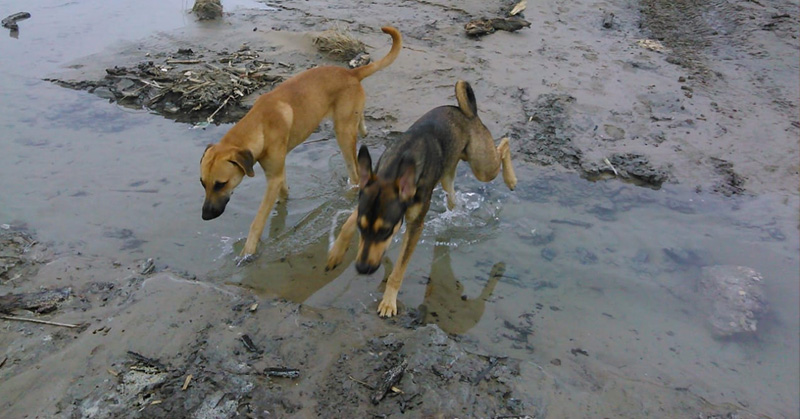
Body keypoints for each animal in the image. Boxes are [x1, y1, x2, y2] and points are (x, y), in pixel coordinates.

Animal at [200, 26, 402, 258]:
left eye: (221, 184)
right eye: (202, 183)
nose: (205, 216)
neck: (259, 126)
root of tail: (351, 73)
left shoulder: (273, 178)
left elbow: (258, 221)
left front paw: (247, 253)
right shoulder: (278, 174)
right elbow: (283, 195)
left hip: (342, 135)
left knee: (355, 175)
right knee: (361, 127)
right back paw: (364, 127)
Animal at [326, 80, 517, 317]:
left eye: (386, 231)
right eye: (362, 229)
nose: (362, 268)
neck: (396, 170)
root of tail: (468, 112)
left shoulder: (415, 226)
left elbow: (399, 269)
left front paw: (389, 301)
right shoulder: (367, 195)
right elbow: (348, 223)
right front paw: (336, 253)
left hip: (482, 166)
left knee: (504, 145)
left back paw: (511, 179)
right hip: (449, 171)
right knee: (453, 196)